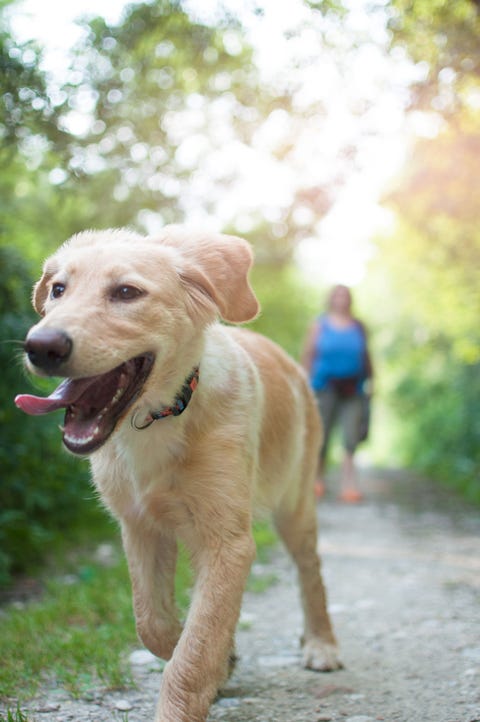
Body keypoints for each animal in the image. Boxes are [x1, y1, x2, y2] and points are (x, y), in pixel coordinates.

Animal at [15, 226, 342, 720]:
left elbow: (195, 647)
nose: (41, 346)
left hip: (296, 503)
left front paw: (189, 694)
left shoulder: (228, 542)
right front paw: (222, 663)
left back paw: (321, 643)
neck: (160, 418)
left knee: (311, 571)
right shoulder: (140, 527)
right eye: (58, 290)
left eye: (126, 292)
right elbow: (156, 624)